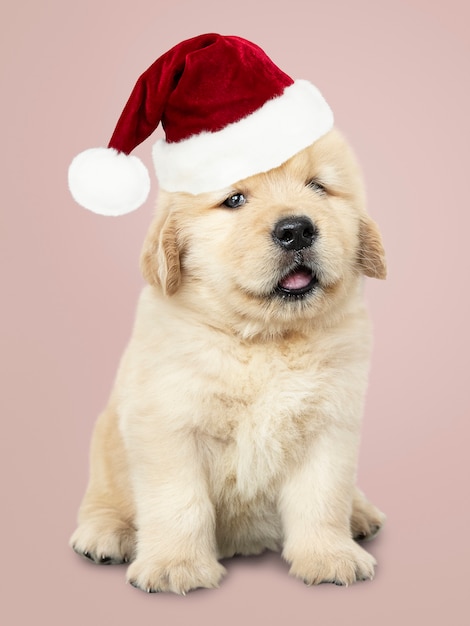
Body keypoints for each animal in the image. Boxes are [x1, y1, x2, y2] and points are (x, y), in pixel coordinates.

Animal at [70, 125, 386, 588]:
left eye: (318, 187)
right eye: (234, 199)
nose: (297, 230)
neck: (263, 339)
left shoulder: (329, 426)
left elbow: (322, 498)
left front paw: (329, 556)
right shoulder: (170, 426)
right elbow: (179, 503)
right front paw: (176, 566)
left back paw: (360, 514)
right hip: (105, 445)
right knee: (102, 498)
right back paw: (106, 533)